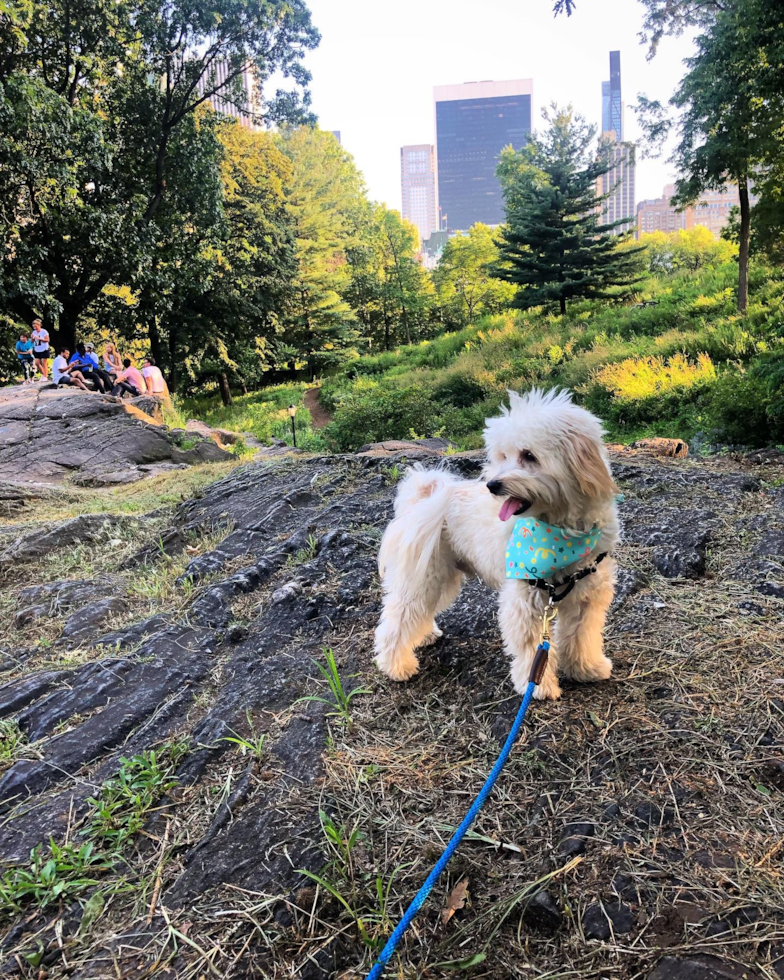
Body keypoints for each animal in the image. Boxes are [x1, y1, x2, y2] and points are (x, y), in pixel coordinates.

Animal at [374, 386, 620, 700]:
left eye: (529, 455)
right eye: (503, 456)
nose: (493, 485)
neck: (559, 532)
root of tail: (422, 499)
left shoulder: (587, 594)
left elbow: (581, 635)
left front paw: (585, 668)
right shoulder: (525, 598)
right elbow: (530, 647)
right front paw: (538, 686)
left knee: (416, 613)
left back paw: (424, 634)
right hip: (422, 575)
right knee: (398, 618)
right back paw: (396, 665)